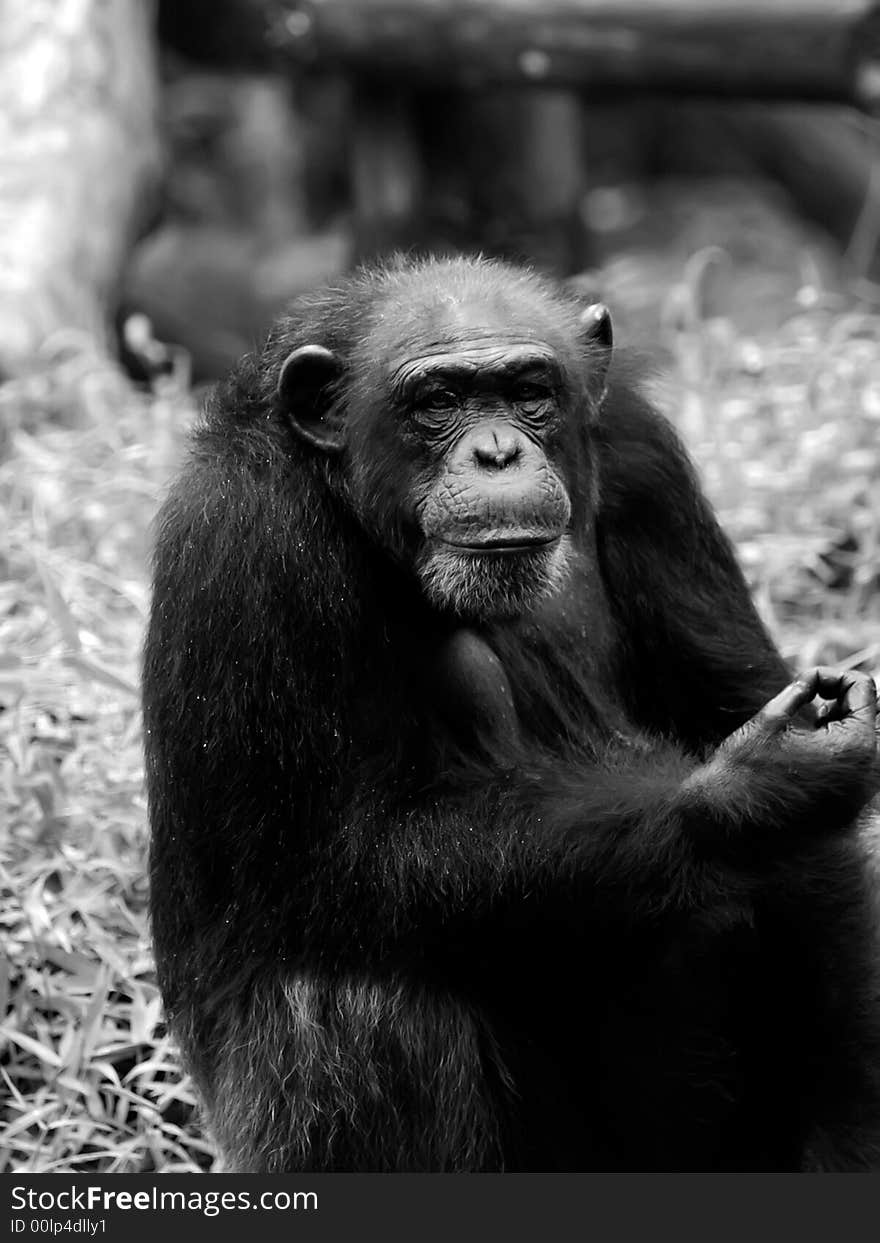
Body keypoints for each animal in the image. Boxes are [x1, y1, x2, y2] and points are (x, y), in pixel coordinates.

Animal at [142, 254, 879, 1173]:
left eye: (529, 390)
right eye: (438, 402)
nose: (497, 451)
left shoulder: (649, 466)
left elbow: (790, 808)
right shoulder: (243, 539)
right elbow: (328, 855)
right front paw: (741, 794)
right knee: (362, 1007)